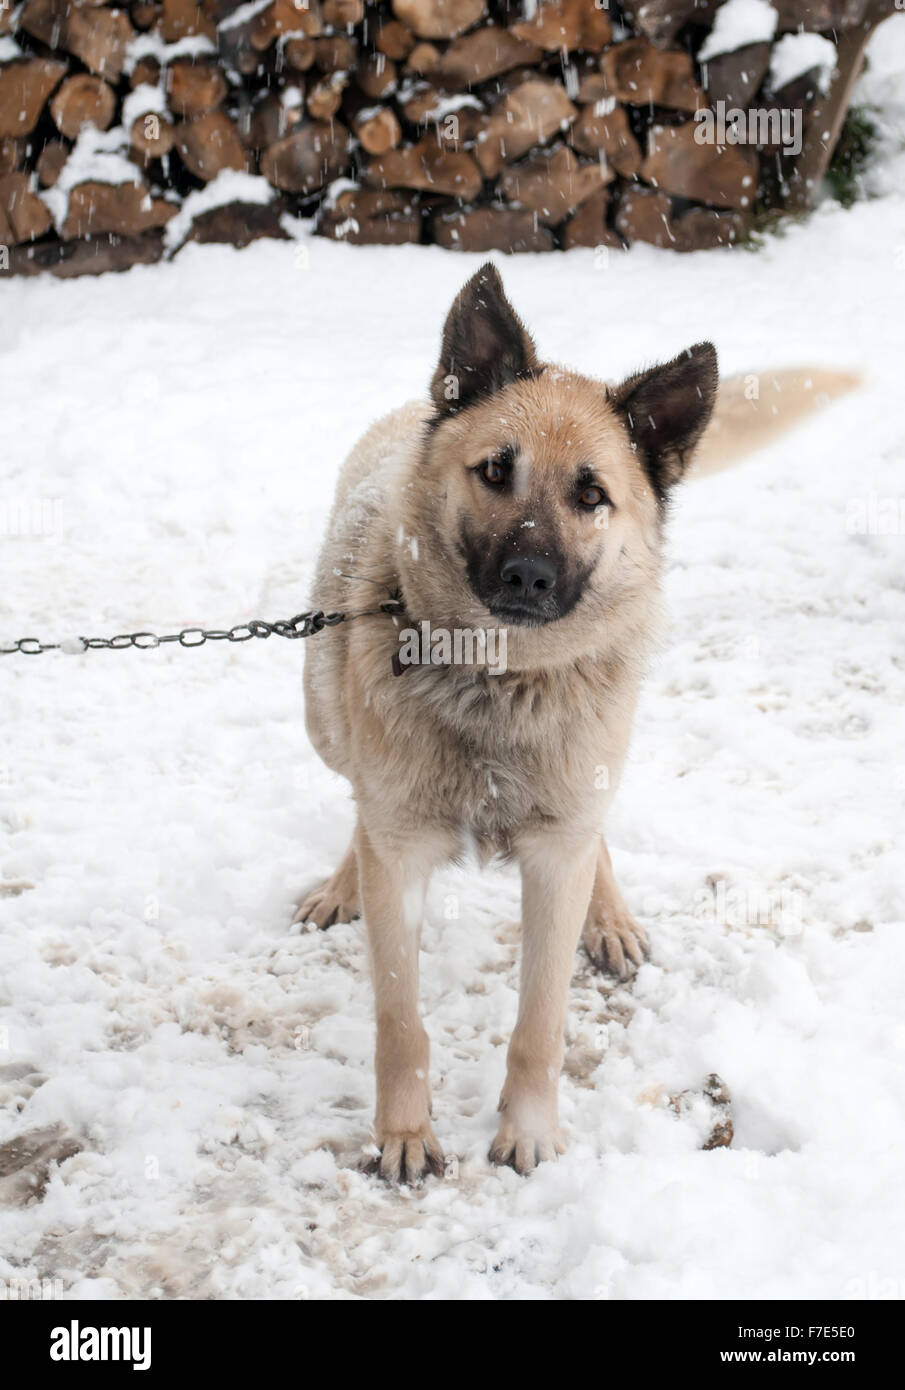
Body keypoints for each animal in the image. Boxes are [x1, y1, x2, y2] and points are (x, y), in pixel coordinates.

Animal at [296, 262, 856, 1184]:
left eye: (590, 495)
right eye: (496, 470)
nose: (526, 575)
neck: (496, 679)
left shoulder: (555, 856)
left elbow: (539, 1023)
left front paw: (527, 1131)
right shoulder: (402, 856)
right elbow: (400, 1021)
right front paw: (405, 1133)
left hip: (594, 769)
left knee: (598, 836)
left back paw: (611, 919)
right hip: (325, 719)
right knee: (355, 803)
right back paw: (343, 880)